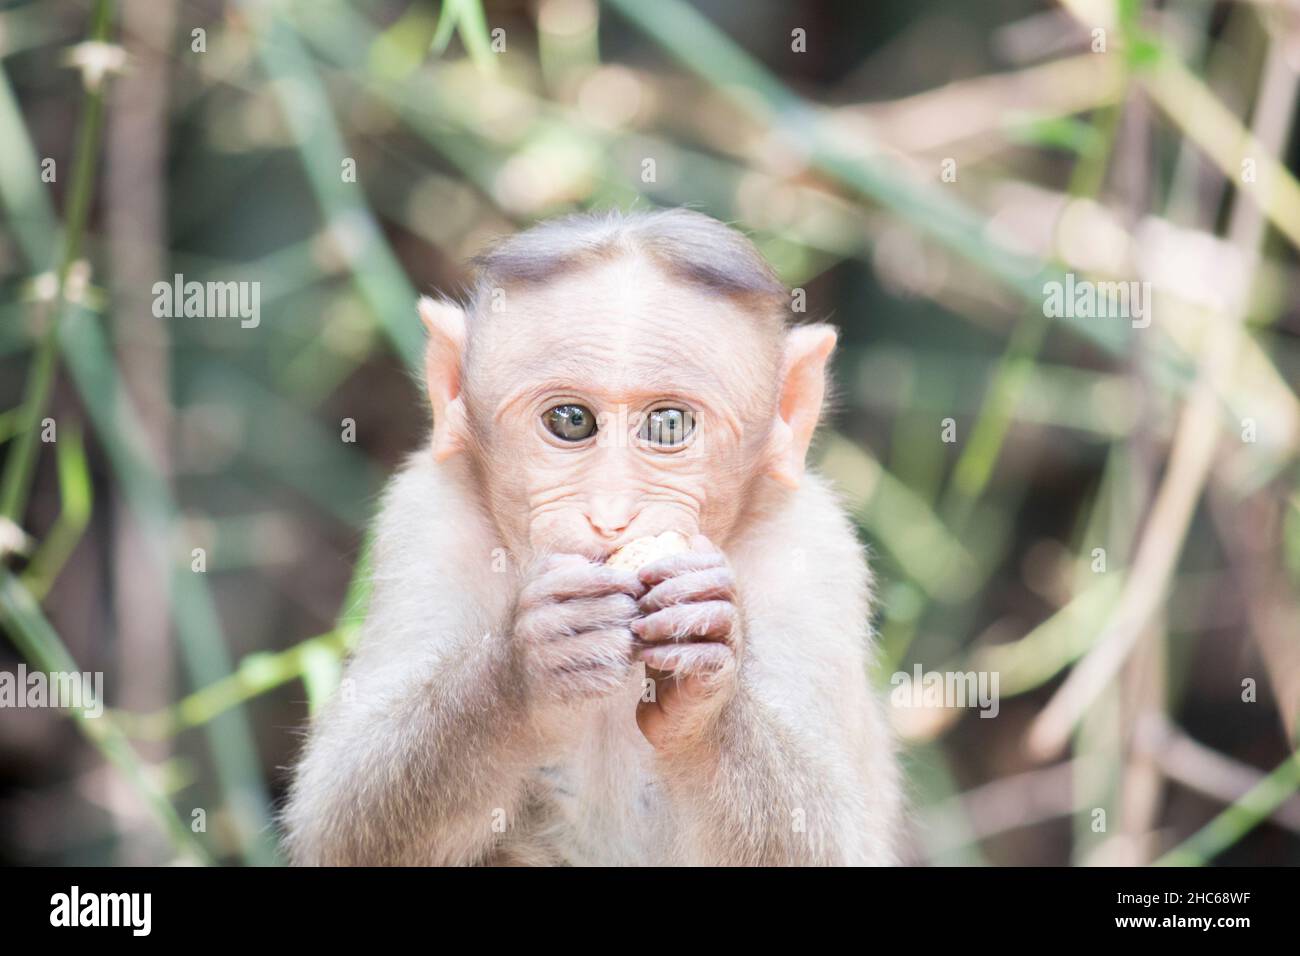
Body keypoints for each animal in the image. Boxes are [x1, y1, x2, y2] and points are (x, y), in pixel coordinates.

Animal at [280, 209, 899, 868]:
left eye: (668, 425)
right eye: (571, 420)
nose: (611, 516)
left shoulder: (818, 550)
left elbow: (834, 844)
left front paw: (706, 686)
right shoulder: (424, 519)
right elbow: (338, 825)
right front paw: (528, 665)